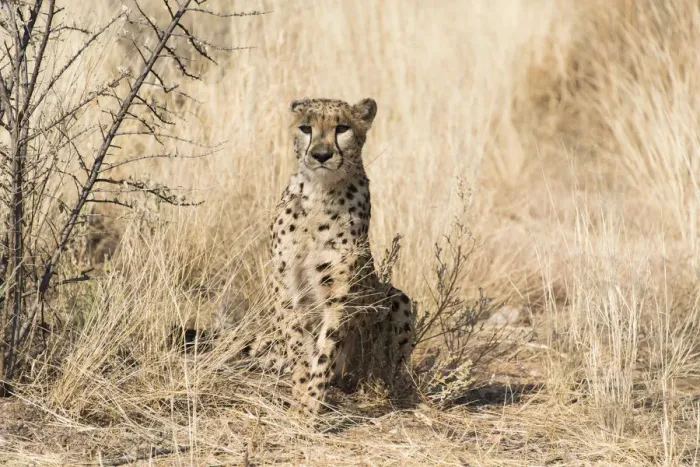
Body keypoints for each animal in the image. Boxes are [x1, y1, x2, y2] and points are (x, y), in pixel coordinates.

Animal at [247, 97, 415, 418]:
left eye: (342, 128)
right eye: (305, 128)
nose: (322, 154)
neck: (320, 193)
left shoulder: (338, 293)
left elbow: (326, 350)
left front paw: (311, 403)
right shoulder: (285, 283)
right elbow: (298, 343)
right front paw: (301, 393)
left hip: (397, 299)